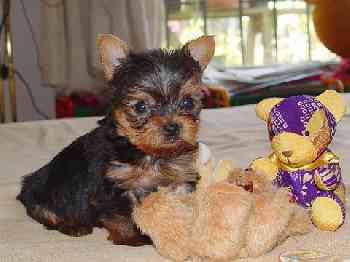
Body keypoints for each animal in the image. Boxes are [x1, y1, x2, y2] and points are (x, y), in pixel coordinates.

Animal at [17, 34, 216, 246]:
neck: (149, 153)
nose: (173, 127)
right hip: (42, 193)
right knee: (47, 214)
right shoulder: (112, 185)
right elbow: (122, 215)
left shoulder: (179, 178)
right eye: (140, 106)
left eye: (188, 102)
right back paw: (73, 226)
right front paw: (133, 237)